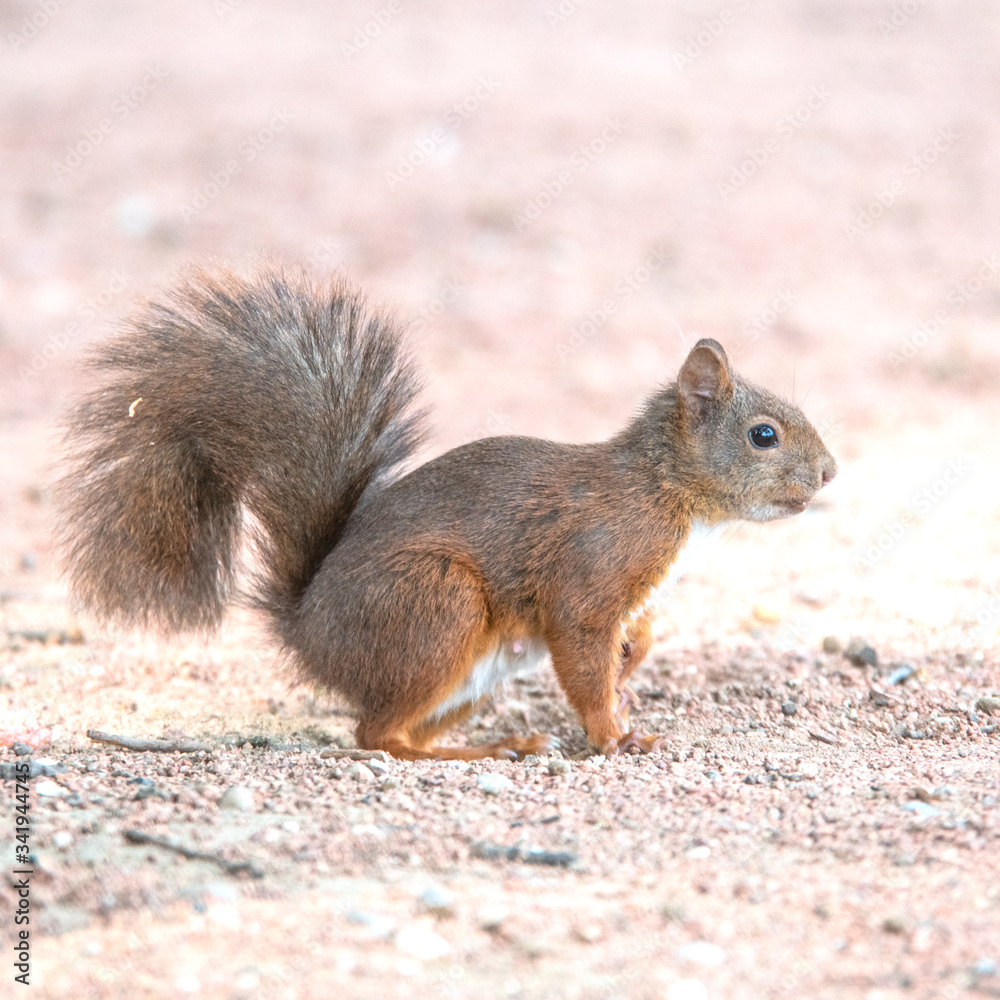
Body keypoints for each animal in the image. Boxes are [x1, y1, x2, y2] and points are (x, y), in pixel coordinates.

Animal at [58, 266, 837, 761]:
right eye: (763, 435)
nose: (831, 472)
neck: (661, 488)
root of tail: (306, 630)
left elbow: (633, 635)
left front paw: (632, 660)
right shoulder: (592, 566)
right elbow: (582, 644)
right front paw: (614, 734)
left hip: (467, 671)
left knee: (401, 731)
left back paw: (502, 742)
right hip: (438, 605)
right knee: (377, 740)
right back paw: (480, 754)